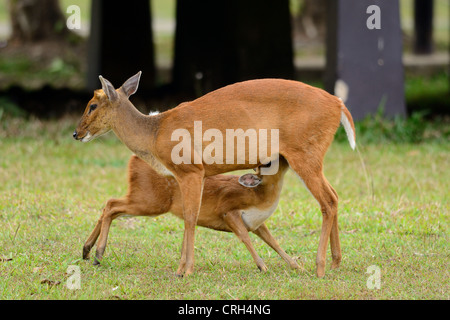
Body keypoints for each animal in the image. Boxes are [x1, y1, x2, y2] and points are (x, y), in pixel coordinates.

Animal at [74, 72, 356, 278]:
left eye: (92, 105)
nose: (77, 133)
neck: (154, 134)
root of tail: (339, 104)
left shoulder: (191, 169)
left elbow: (190, 216)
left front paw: (184, 270)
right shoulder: (185, 175)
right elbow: (189, 215)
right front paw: (183, 267)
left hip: (305, 153)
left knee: (327, 201)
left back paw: (320, 266)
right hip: (311, 157)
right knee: (334, 196)